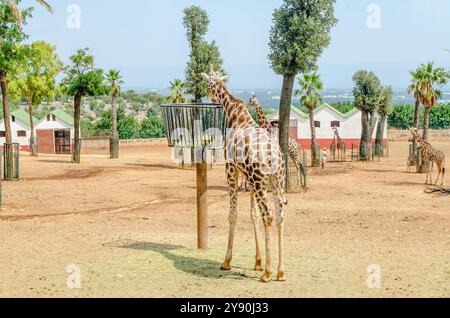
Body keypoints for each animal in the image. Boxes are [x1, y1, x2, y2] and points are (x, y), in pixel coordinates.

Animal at [201, 70, 286, 284]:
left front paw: (226, 261)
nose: (211, 96)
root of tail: (274, 154)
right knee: (280, 216)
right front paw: (257, 261)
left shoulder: (231, 170)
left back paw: (268, 273)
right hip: (276, 181)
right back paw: (280, 272)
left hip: (260, 180)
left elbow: (233, 214)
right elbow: (252, 214)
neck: (234, 114)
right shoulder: (248, 178)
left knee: (268, 216)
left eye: (208, 83)